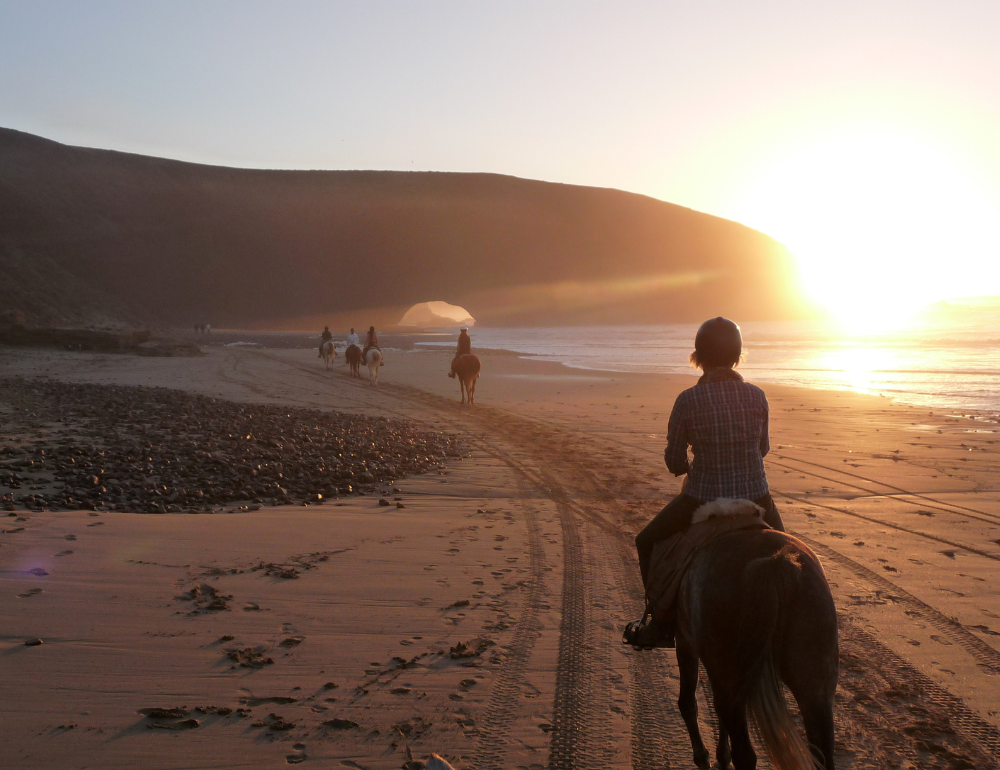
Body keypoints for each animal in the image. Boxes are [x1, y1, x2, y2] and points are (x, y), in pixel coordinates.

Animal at [672, 528, 836, 768]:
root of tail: (772, 562)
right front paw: (720, 757)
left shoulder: (685, 642)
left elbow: (687, 703)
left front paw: (704, 758)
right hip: (816, 686)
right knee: (823, 753)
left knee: (744, 755)